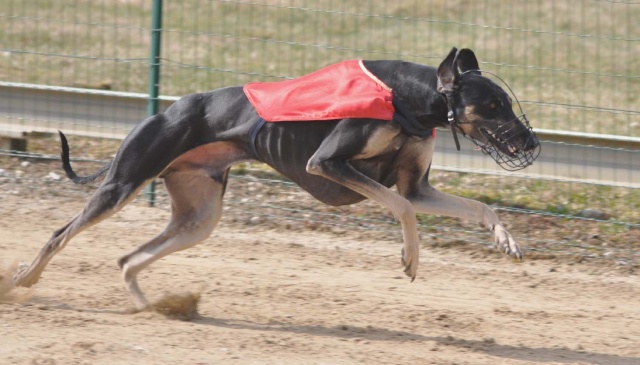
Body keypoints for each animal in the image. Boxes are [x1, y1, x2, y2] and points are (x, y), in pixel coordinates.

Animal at [12, 46, 536, 308]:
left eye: (507, 102)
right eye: (492, 105)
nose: (531, 143)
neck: (407, 100)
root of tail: (164, 111)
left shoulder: (416, 184)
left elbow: (476, 206)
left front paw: (506, 240)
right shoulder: (328, 163)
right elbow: (402, 206)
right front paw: (410, 258)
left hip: (199, 216)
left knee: (128, 258)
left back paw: (151, 305)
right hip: (123, 184)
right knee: (60, 234)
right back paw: (23, 278)